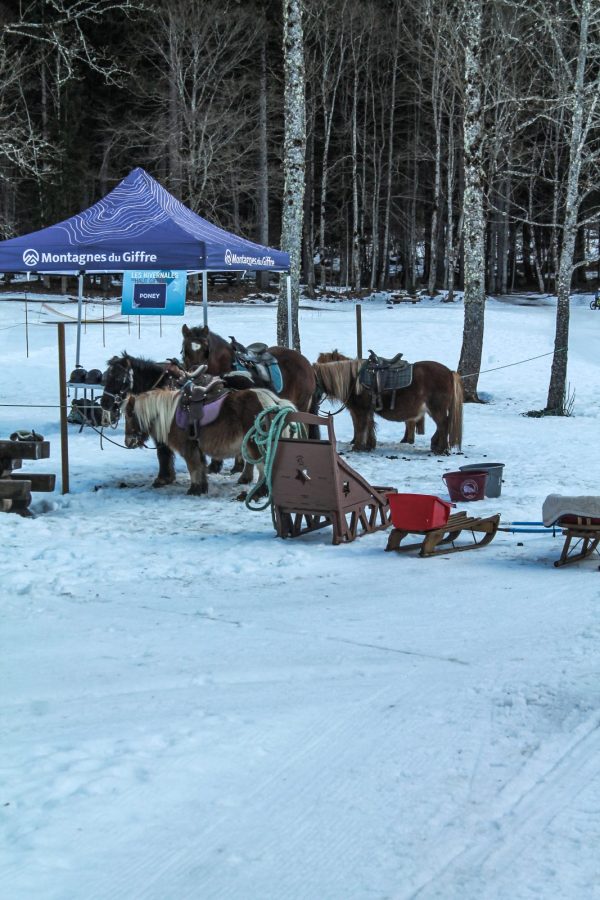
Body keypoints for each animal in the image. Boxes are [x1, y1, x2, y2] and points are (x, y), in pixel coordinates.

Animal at [100, 353, 185, 487]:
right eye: (106, 378)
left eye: (118, 379)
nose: (104, 403)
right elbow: (161, 450)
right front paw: (165, 477)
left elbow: (163, 449)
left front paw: (164, 478)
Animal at [122, 384, 295, 496]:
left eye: (129, 416)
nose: (128, 442)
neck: (170, 416)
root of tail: (273, 402)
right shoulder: (196, 449)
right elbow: (200, 467)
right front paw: (201, 488)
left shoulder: (188, 448)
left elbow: (193, 468)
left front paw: (194, 490)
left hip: (254, 445)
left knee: (263, 466)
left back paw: (260, 491)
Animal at [313, 350, 463, 455]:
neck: (354, 380)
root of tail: (449, 372)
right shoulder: (367, 411)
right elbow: (369, 425)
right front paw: (369, 446)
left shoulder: (360, 410)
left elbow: (361, 427)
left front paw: (358, 447)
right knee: (443, 424)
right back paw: (435, 445)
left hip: (436, 408)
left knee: (443, 424)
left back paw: (441, 449)